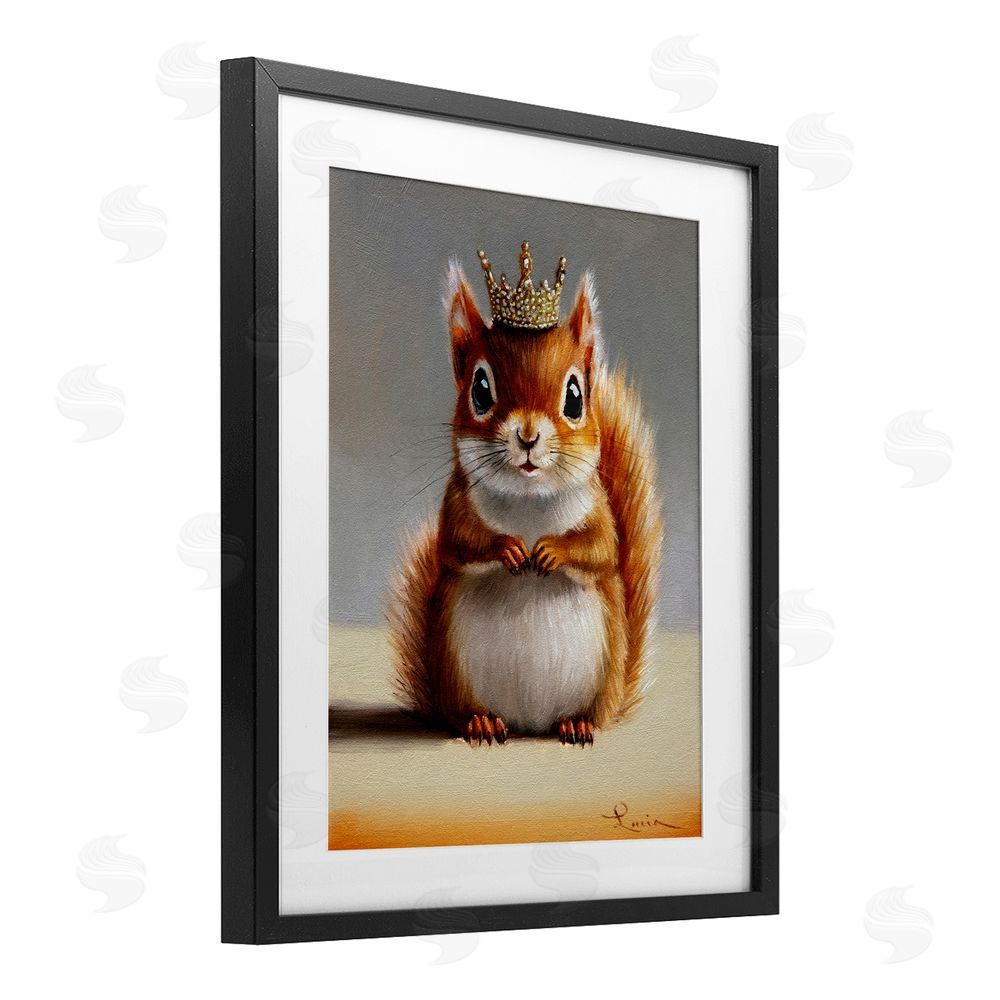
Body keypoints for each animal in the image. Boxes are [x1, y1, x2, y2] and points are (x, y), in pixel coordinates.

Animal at [389, 242, 662, 746]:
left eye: (575, 397)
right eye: (480, 389)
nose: (529, 436)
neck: (529, 501)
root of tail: (529, 724)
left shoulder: (599, 510)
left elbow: (601, 548)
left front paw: (552, 551)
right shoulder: (456, 504)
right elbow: (458, 543)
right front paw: (509, 548)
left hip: (603, 672)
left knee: (587, 714)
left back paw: (578, 723)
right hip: (455, 668)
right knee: (466, 714)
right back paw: (480, 721)